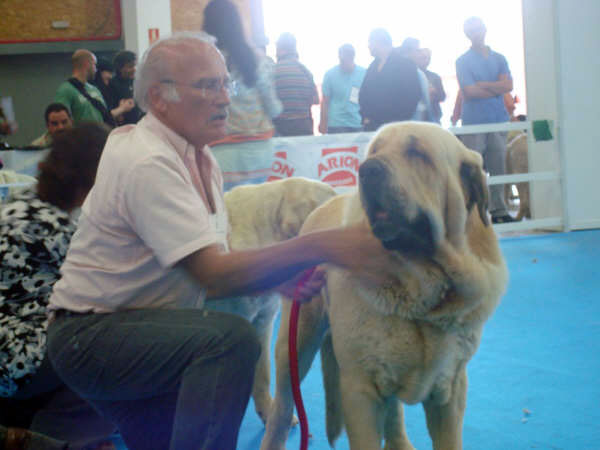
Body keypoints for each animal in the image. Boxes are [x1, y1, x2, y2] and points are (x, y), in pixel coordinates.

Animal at [262, 123, 506, 450]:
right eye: (375, 150)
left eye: (417, 153)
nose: (367, 170)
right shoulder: (360, 392)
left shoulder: (450, 390)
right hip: (296, 346)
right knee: (283, 405)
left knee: (394, 419)